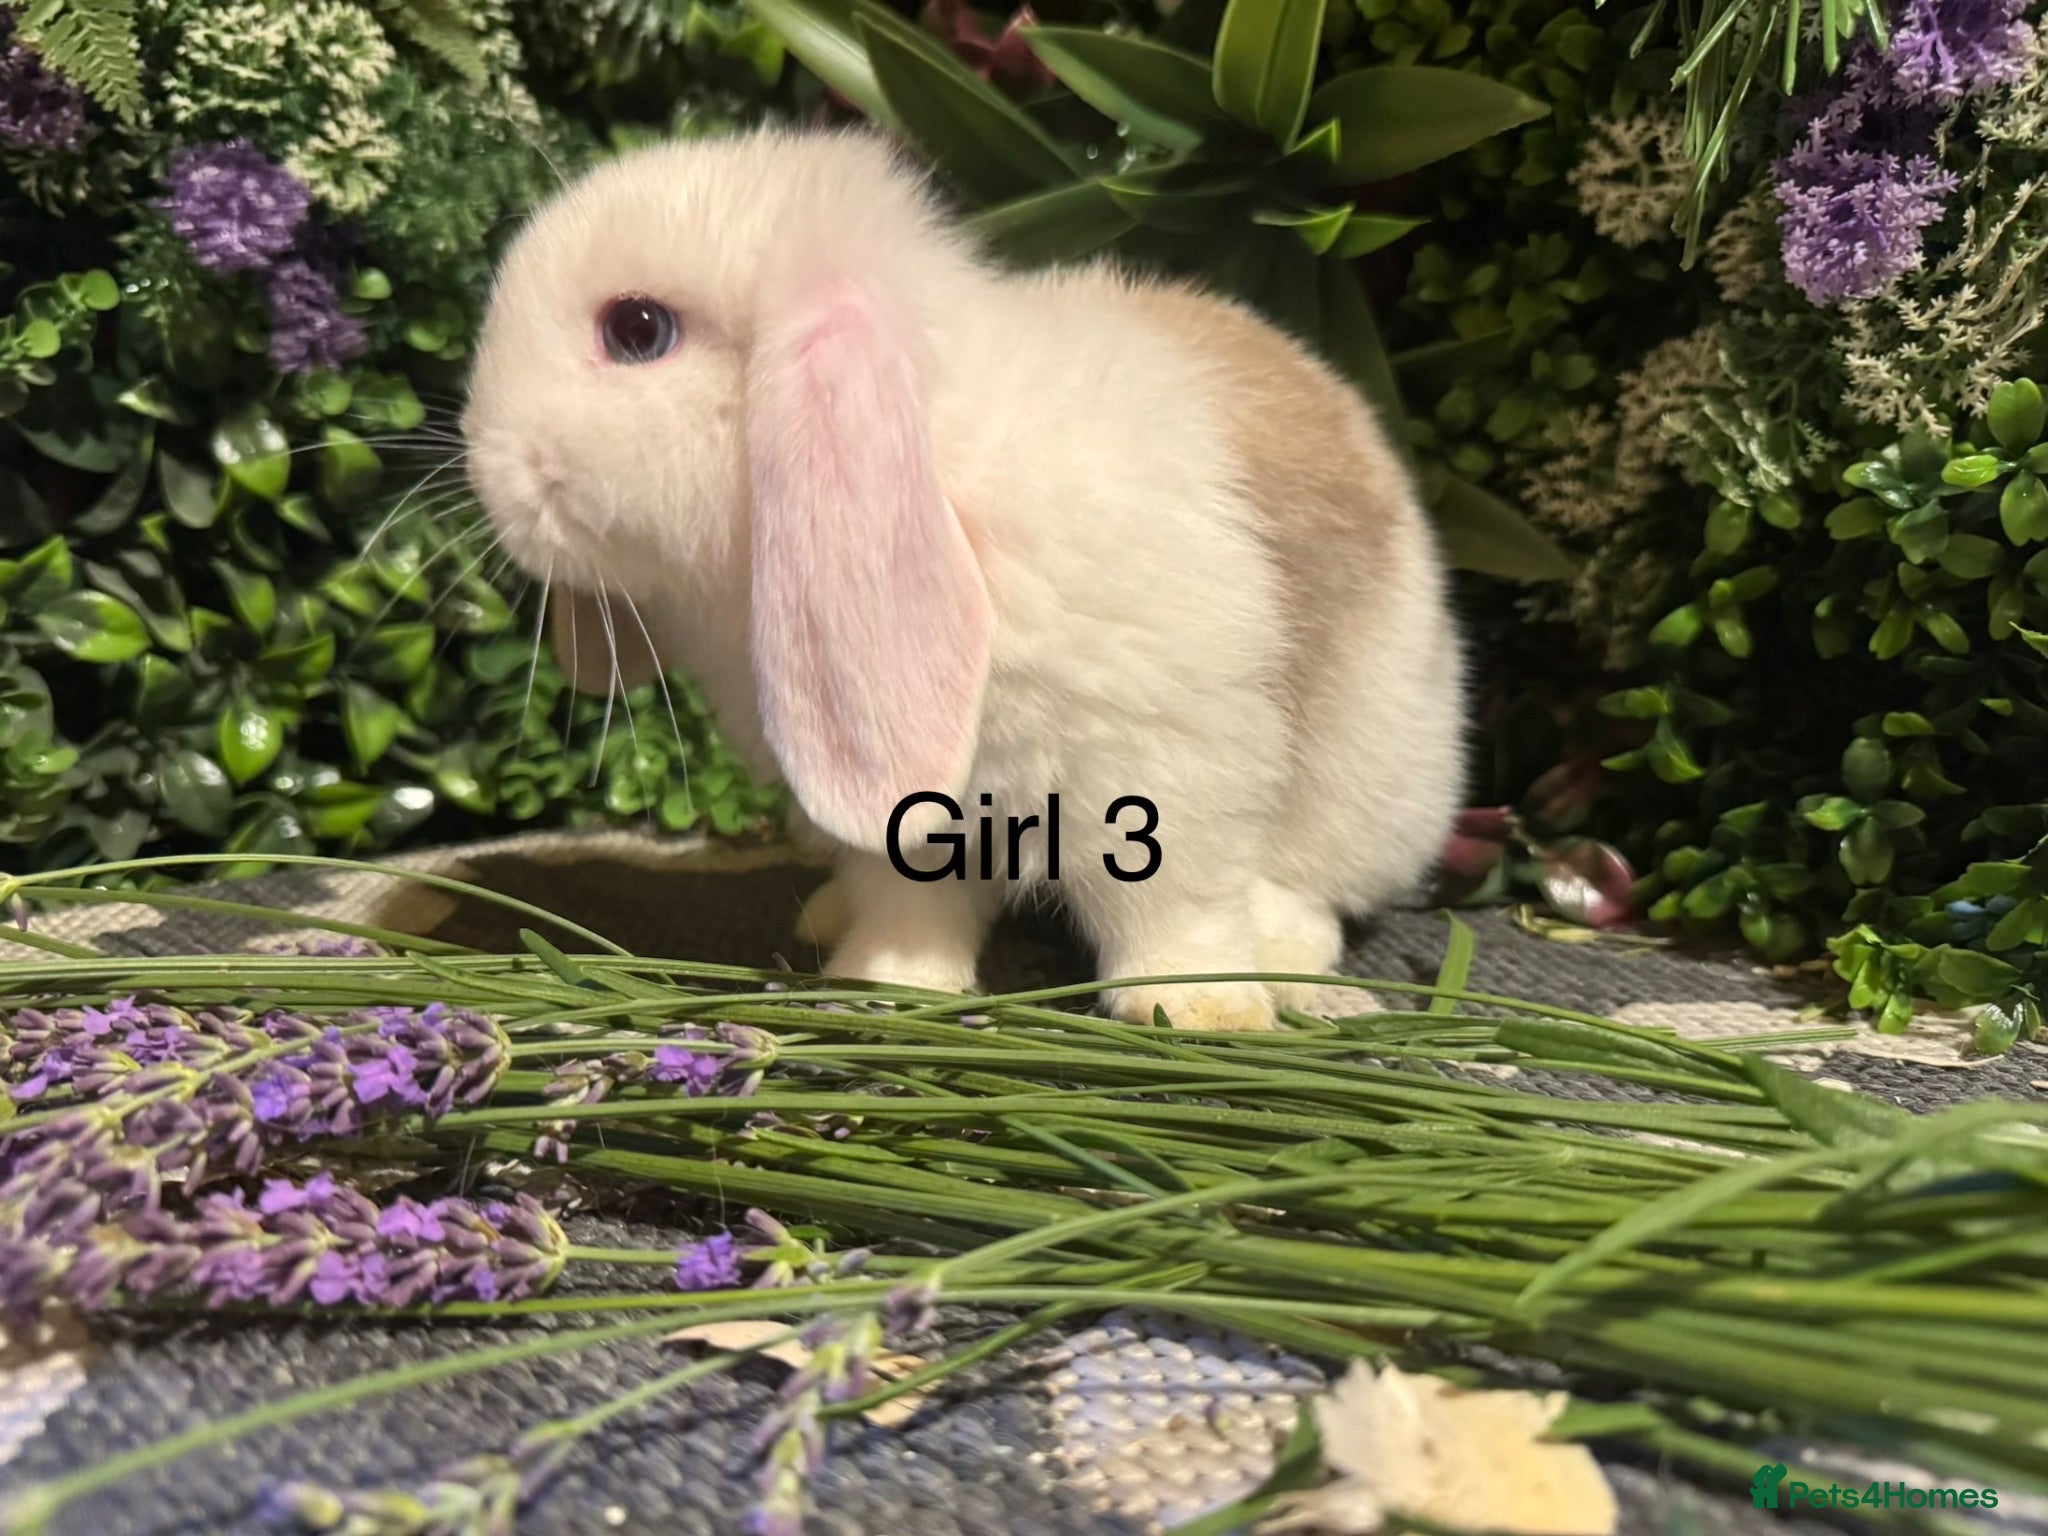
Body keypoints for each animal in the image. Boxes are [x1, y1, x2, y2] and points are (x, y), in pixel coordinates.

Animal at [463, 127, 1466, 1033]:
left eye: (637, 330)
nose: (482, 471)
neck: (947, 479)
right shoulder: (901, 816)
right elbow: (911, 902)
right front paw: (886, 983)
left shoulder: (1165, 763)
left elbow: (1174, 904)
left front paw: (1195, 1010)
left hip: (1375, 782)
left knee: (1317, 885)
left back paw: (1281, 948)